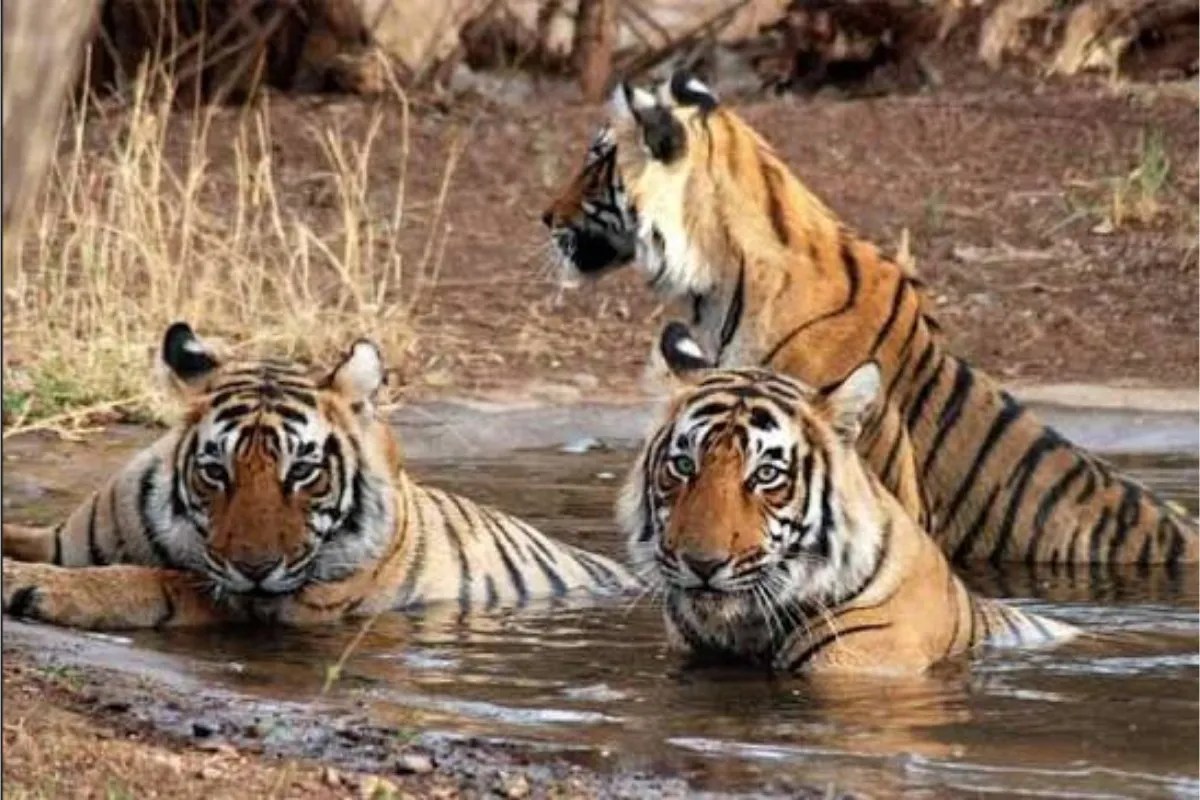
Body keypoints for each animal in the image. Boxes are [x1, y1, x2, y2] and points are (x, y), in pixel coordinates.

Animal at [1, 323, 638, 630]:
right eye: (215, 471)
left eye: (304, 472)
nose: (255, 569)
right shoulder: (62, 538)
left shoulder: (268, 603)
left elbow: (152, 580)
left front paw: (32, 585)